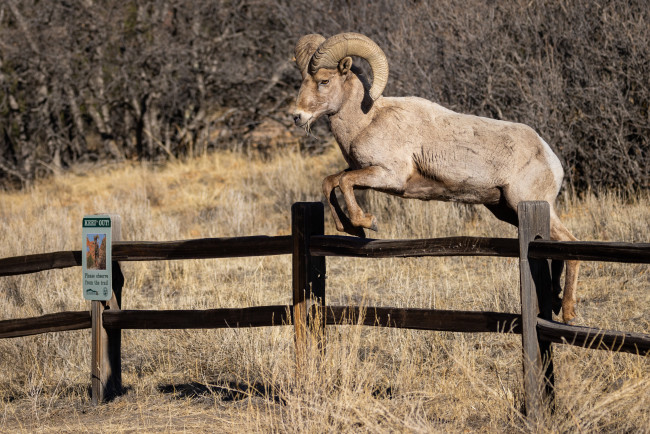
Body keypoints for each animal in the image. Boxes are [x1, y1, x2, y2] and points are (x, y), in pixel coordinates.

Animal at [292, 33, 580, 322]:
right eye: (303, 81)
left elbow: (344, 183)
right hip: (507, 210)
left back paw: (567, 311)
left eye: (324, 81)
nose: (297, 116)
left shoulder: (389, 176)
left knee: (570, 244)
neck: (367, 121)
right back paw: (556, 301)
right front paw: (350, 228)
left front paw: (366, 223)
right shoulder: (360, 171)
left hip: (526, 203)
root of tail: (551, 159)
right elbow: (331, 182)